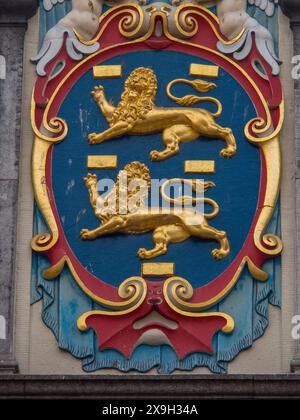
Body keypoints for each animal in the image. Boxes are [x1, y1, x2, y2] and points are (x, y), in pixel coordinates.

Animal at [79, 161, 230, 260]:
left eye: (131, 175)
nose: (120, 176)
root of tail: (198, 212)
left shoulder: (117, 220)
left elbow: (101, 229)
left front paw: (88, 234)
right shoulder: (103, 210)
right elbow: (96, 201)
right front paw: (91, 181)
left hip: (196, 228)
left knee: (221, 233)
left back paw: (221, 252)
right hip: (162, 230)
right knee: (162, 248)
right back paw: (145, 254)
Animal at [88, 67, 238, 161]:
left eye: (142, 80)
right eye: (134, 78)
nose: (134, 81)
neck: (135, 99)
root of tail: (206, 112)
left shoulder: (125, 124)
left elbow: (108, 132)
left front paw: (96, 137)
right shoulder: (114, 117)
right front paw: (99, 94)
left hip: (203, 125)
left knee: (226, 130)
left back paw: (230, 149)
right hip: (174, 130)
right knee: (174, 147)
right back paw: (158, 155)